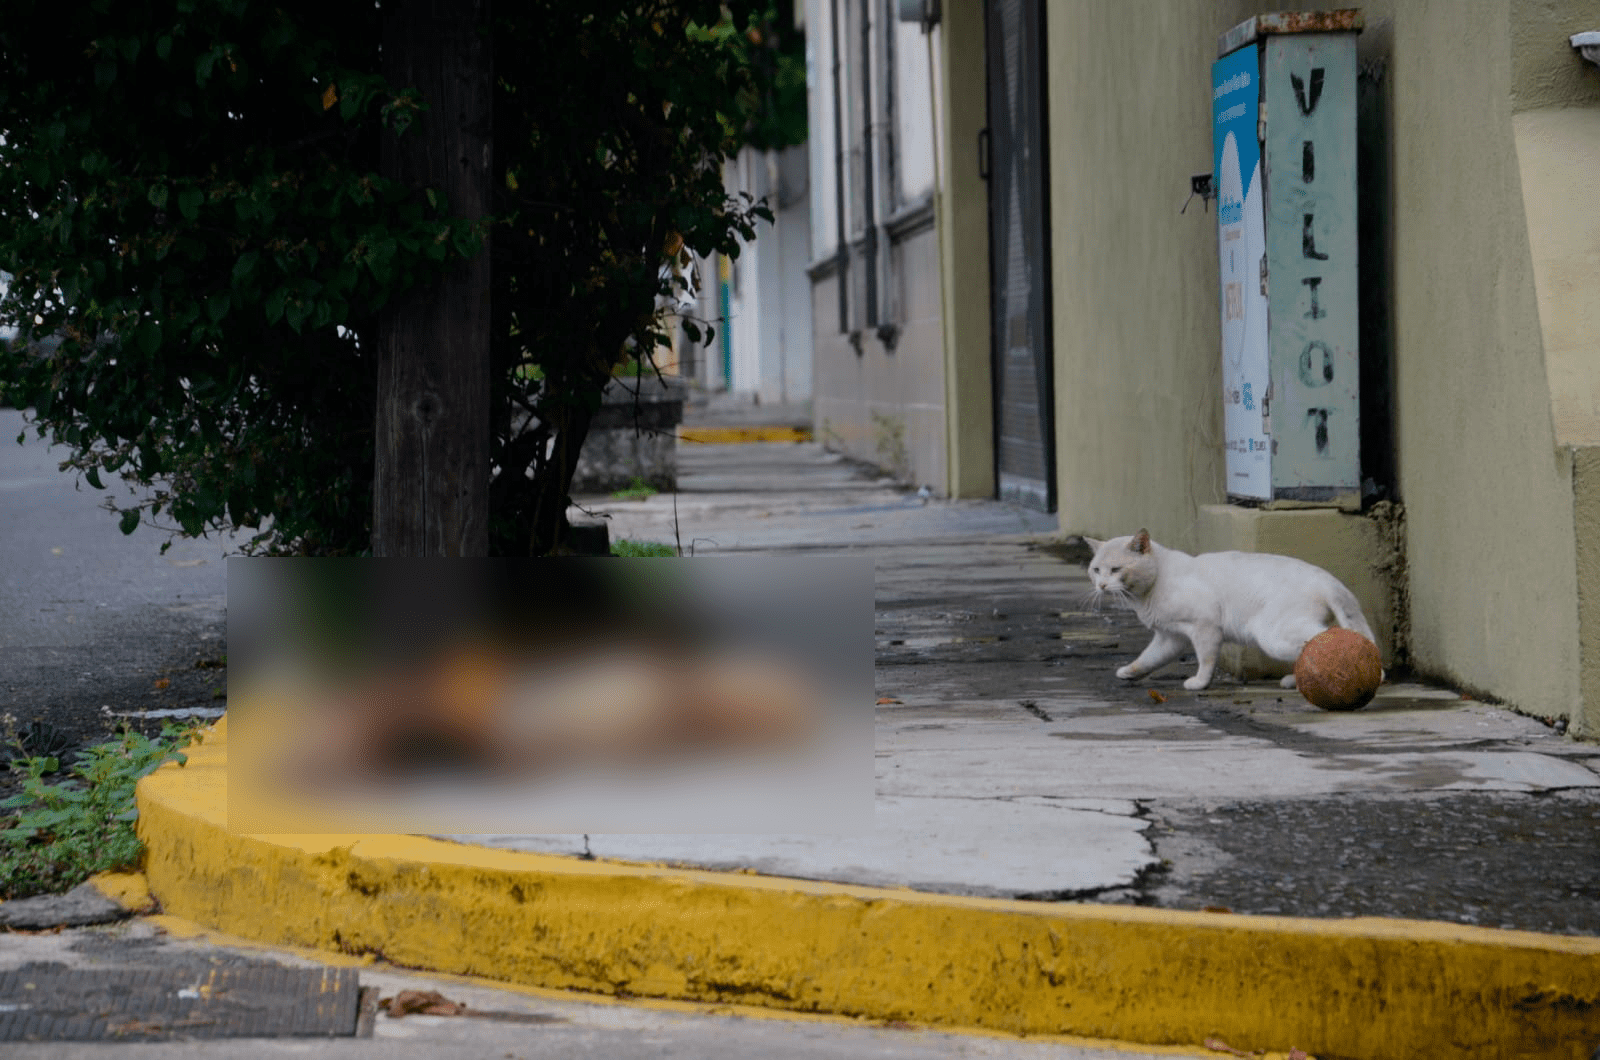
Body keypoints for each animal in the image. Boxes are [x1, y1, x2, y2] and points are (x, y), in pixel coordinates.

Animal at [1088, 528, 1376, 694]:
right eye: (1096, 570)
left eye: (1115, 570)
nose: (1101, 585)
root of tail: (1327, 579)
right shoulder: (1171, 637)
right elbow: (1148, 658)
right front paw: (1129, 672)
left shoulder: (1204, 627)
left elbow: (1206, 660)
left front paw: (1199, 683)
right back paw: (1296, 681)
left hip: (1273, 634)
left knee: (1327, 639)